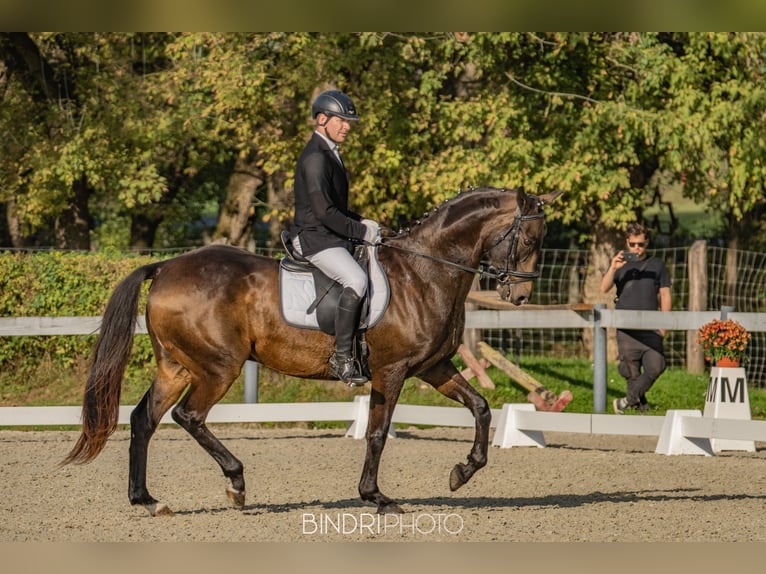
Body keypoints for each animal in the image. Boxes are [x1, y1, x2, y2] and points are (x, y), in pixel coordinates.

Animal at [63, 188, 564, 516]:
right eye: (529, 240)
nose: (520, 297)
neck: (424, 272)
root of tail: (166, 266)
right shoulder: (392, 371)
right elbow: (377, 434)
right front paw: (377, 497)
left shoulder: (434, 366)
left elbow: (481, 407)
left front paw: (463, 472)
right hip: (217, 367)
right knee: (188, 416)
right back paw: (236, 483)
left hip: (177, 366)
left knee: (143, 419)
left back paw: (147, 499)